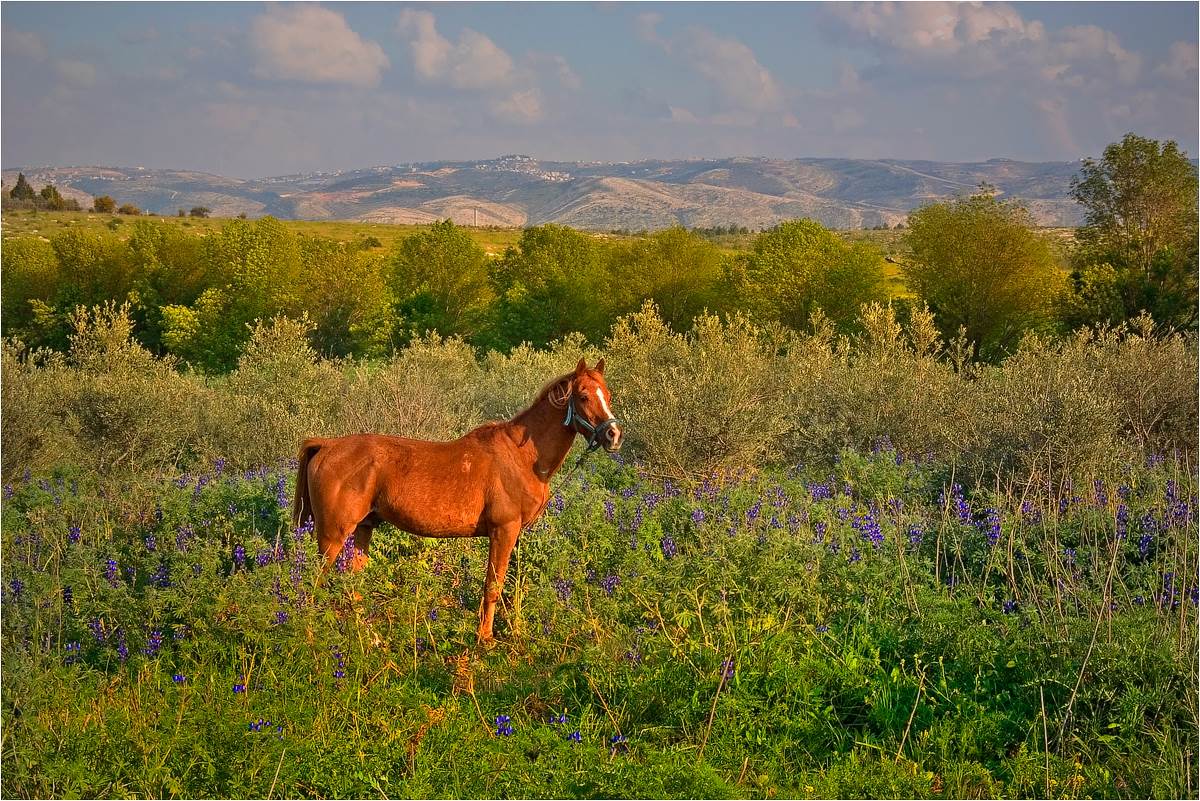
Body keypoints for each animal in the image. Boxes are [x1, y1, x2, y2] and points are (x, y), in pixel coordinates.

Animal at [295, 359, 624, 642]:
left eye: (607, 395)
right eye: (583, 396)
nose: (613, 434)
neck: (522, 457)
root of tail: (326, 445)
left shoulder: (514, 534)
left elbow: (507, 586)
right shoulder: (503, 530)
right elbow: (493, 585)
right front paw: (484, 639)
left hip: (363, 528)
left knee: (353, 583)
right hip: (332, 535)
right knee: (314, 582)